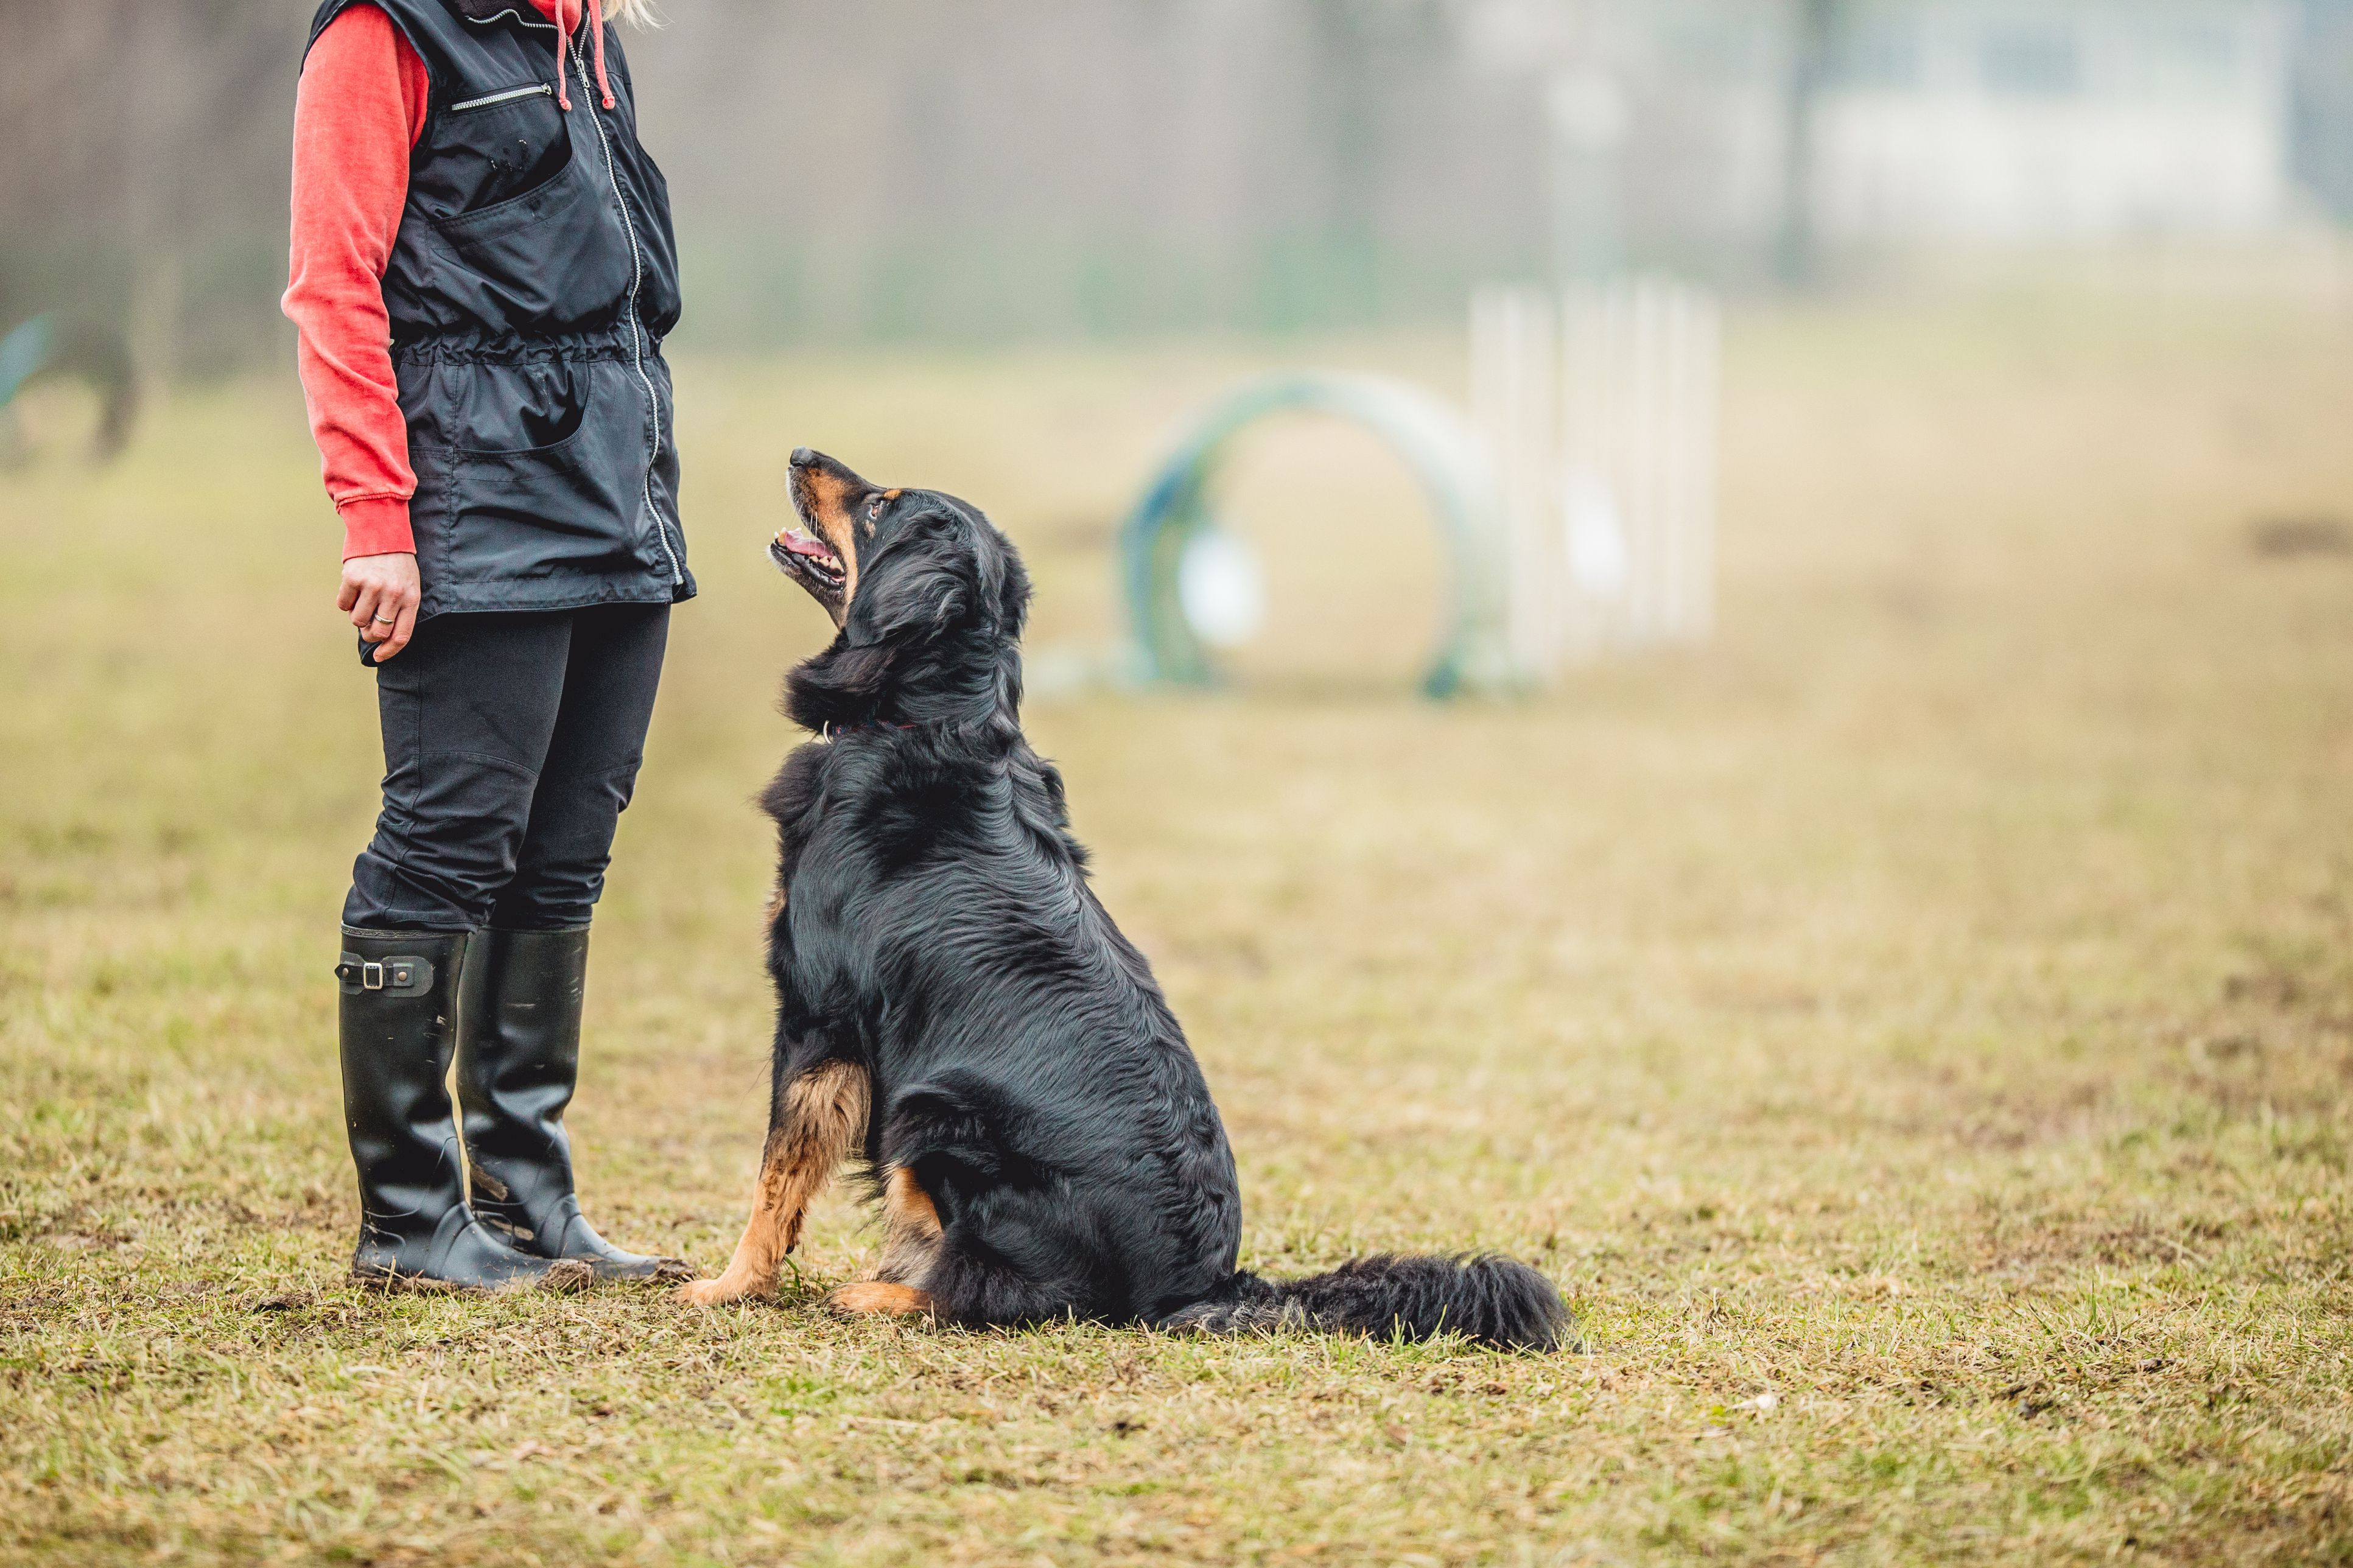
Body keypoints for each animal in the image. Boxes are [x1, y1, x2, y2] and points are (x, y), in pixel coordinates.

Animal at [678, 449, 1562, 1346]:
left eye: (878, 505)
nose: (801, 456)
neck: (928, 716)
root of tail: (1202, 1281)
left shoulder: (817, 1014)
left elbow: (775, 1177)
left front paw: (729, 1286)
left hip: (932, 1112)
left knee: (1010, 1293)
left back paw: (883, 1294)